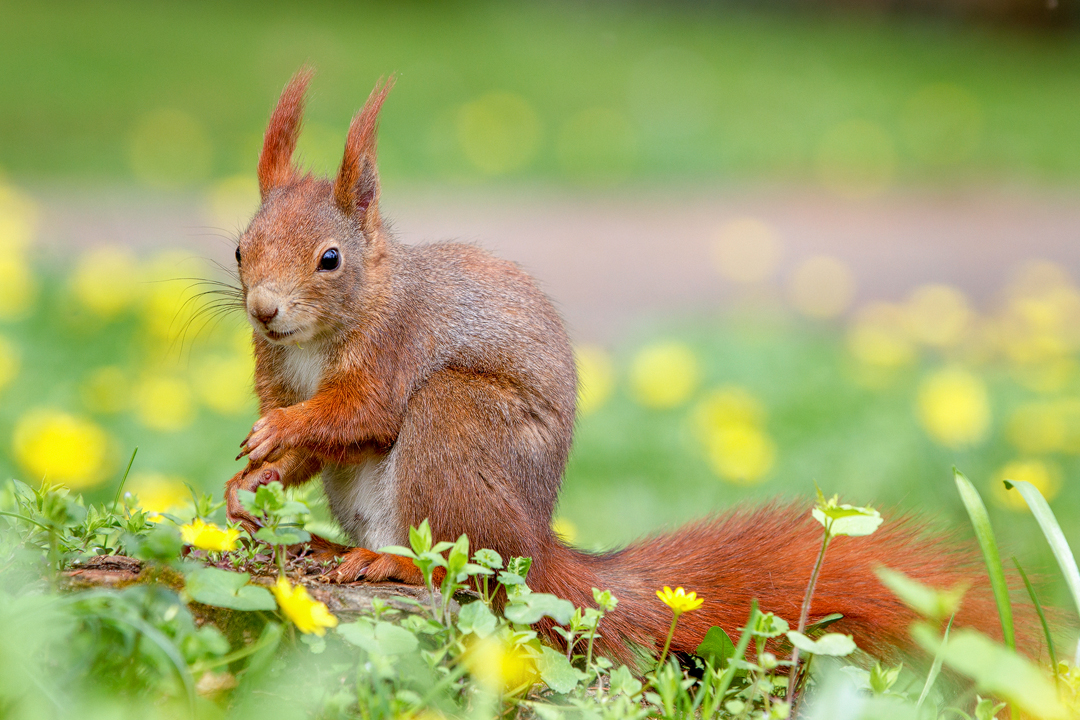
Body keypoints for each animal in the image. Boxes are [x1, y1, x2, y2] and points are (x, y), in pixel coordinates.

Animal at [225, 70, 1002, 669]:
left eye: (330, 259)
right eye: (239, 248)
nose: (263, 310)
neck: (332, 326)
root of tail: (538, 550)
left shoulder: (397, 347)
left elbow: (361, 412)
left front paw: (279, 433)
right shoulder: (277, 367)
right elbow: (315, 443)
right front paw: (252, 480)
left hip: (459, 423)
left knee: (470, 572)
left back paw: (393, 561)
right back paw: (330, 544)